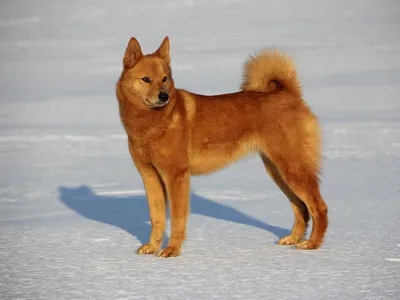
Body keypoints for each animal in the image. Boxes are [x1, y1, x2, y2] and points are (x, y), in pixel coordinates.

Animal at [115, 36, 328, 258]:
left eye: (164, 79)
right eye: (146, 79)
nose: (164, 96)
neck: (153, 123)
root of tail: (290, 93)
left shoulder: (176, 176)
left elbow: (176, 219)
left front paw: (172, 250)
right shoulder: (150, 176)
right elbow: (156, 217)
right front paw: (152, 247)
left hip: (292, 170)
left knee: (319, 207)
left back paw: (312, 244)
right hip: (278, 171)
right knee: (300, 208)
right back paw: (293, 239)